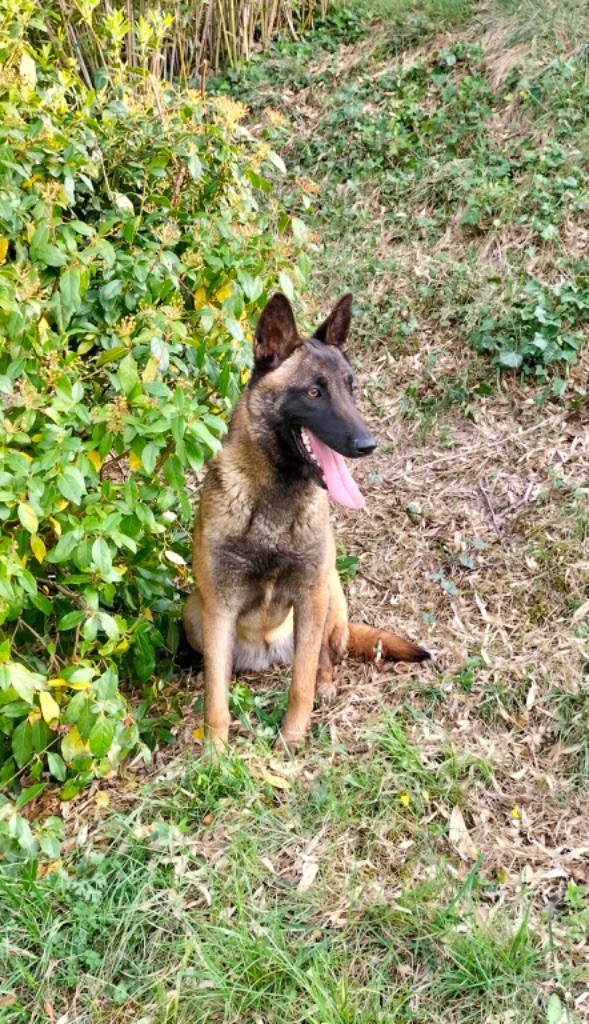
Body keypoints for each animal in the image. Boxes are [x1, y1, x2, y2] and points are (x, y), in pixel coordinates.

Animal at [182, 292, 430, 748]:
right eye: (314, 392)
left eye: (351, 389)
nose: (368, 444)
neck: (274, 504)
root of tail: (266, 653)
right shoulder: (218, 608)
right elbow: (216, 699)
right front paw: (215, 751)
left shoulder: (309, 596)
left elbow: (301, 683)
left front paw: (291, 739)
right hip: (194, 611)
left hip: (327, 593)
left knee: (321, 661)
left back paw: (326, 683)